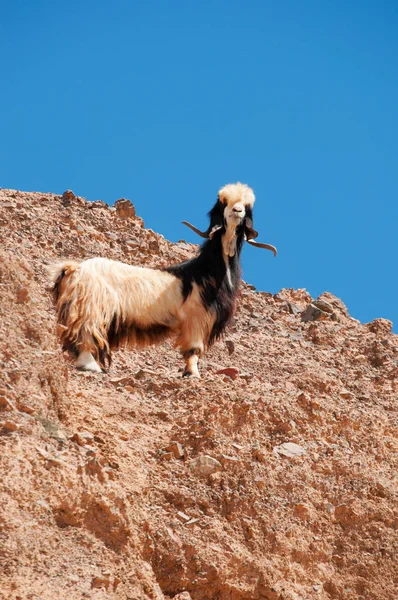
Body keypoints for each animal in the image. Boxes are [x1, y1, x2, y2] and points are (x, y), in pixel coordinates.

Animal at [50, 184, 276, 380]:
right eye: (223, 203)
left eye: (247, 207)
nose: (237, 211)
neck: (206, 271)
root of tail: (74, 268)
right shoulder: (196, 319)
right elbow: (194, 350)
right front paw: (193, 374)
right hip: (92, 308)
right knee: (86, 334)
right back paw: (91, 366)